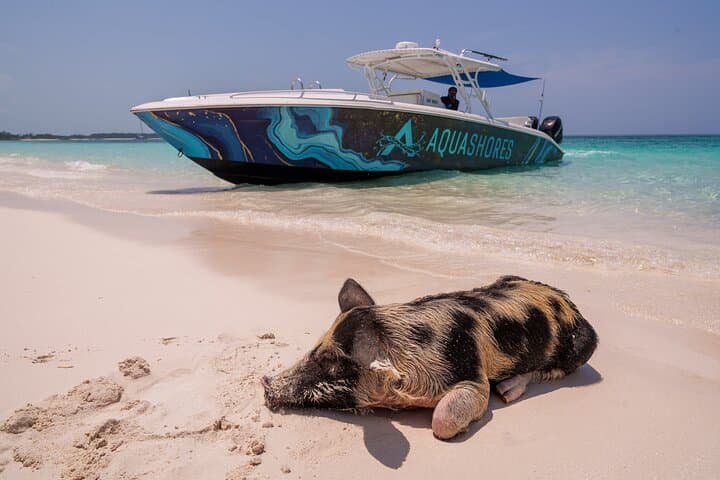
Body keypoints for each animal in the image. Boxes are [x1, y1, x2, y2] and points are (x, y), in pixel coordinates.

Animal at [262, 275, 598, 440]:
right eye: (315, 348)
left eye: (331, 361)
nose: (265, 384)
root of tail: (572, 305)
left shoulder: (473, 376)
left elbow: (443, 420)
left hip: (583, 345)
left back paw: (508, 391)